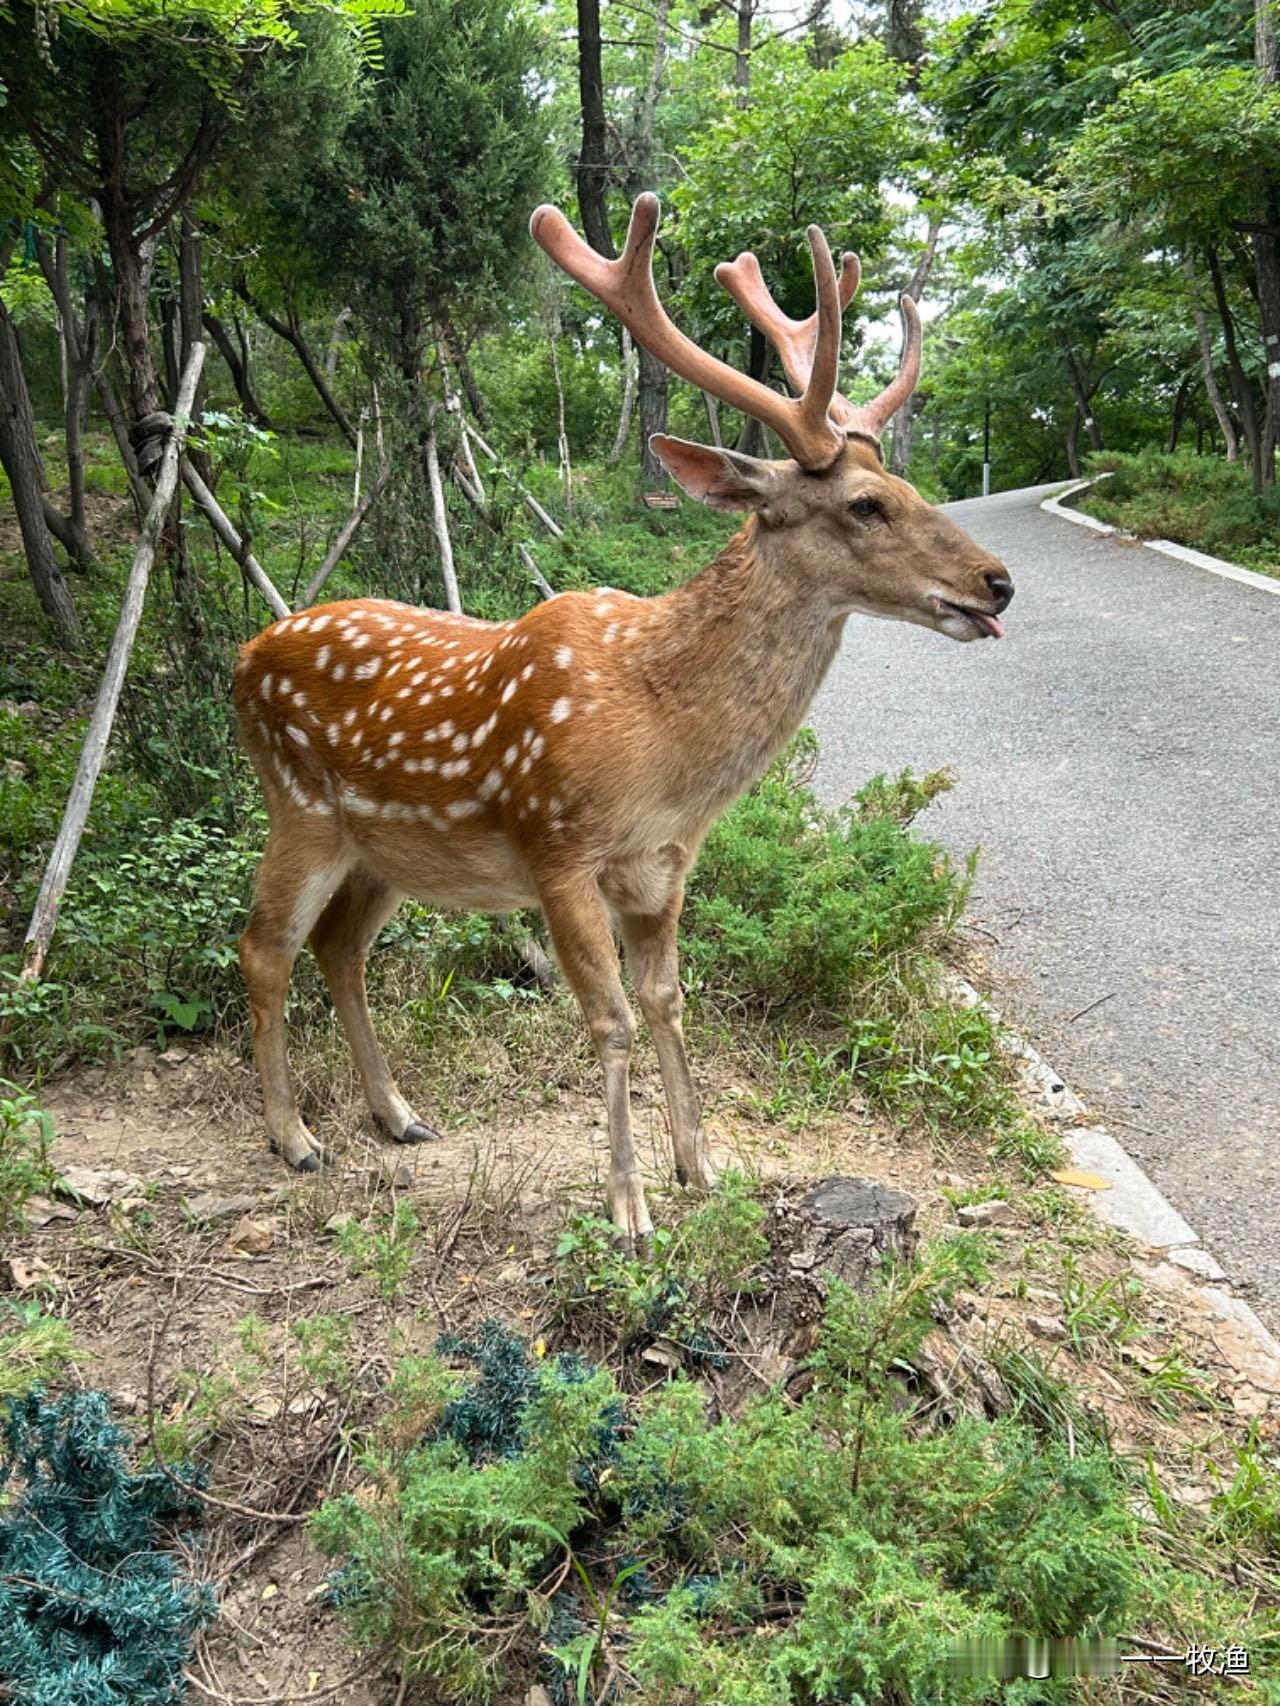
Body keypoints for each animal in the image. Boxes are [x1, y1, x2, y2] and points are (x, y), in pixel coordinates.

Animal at [233, 193, 1013, 1247]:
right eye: (866, 505)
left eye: (915, 488)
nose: (997, 581)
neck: (665, 749)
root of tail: (241, 658)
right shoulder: (557, 843)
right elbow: (610, 1019)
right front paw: (628, 1208)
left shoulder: (665, 864)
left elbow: (669, 1000)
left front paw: (700, 1168)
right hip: (298, 805)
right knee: (265, 948)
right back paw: (294, 1137)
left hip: (388, 850)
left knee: (338, 949)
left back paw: (397, 1115)